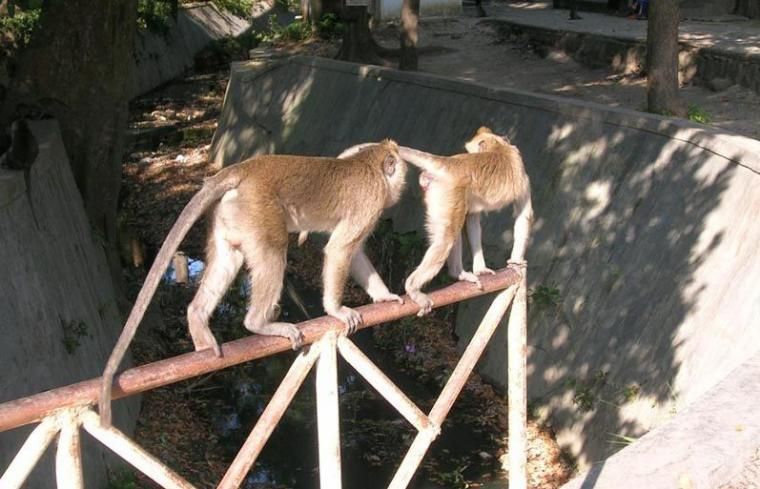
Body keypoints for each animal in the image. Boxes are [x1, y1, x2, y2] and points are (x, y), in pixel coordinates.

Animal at [102, 141, 410, 424]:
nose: (403, 182)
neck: (368, 165)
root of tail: (244, 168)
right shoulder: (370, 203)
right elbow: (340, 250)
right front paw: (336, 311)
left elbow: (354, 254)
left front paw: (384, 296)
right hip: (257, 209)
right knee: (274, 250)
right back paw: (259, 323)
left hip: (229, 213)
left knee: (228, 258)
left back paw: (198, 319)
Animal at [398, 126, 536, 314]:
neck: (498, 146)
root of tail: (452, 164)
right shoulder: (522, 174)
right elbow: (524, 216)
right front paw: (515, 262)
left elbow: (472, 221)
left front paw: (481, 270)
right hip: (449, 191)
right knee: (447, 238)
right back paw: (413, 287)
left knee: (454, 228)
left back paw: (458, 273)